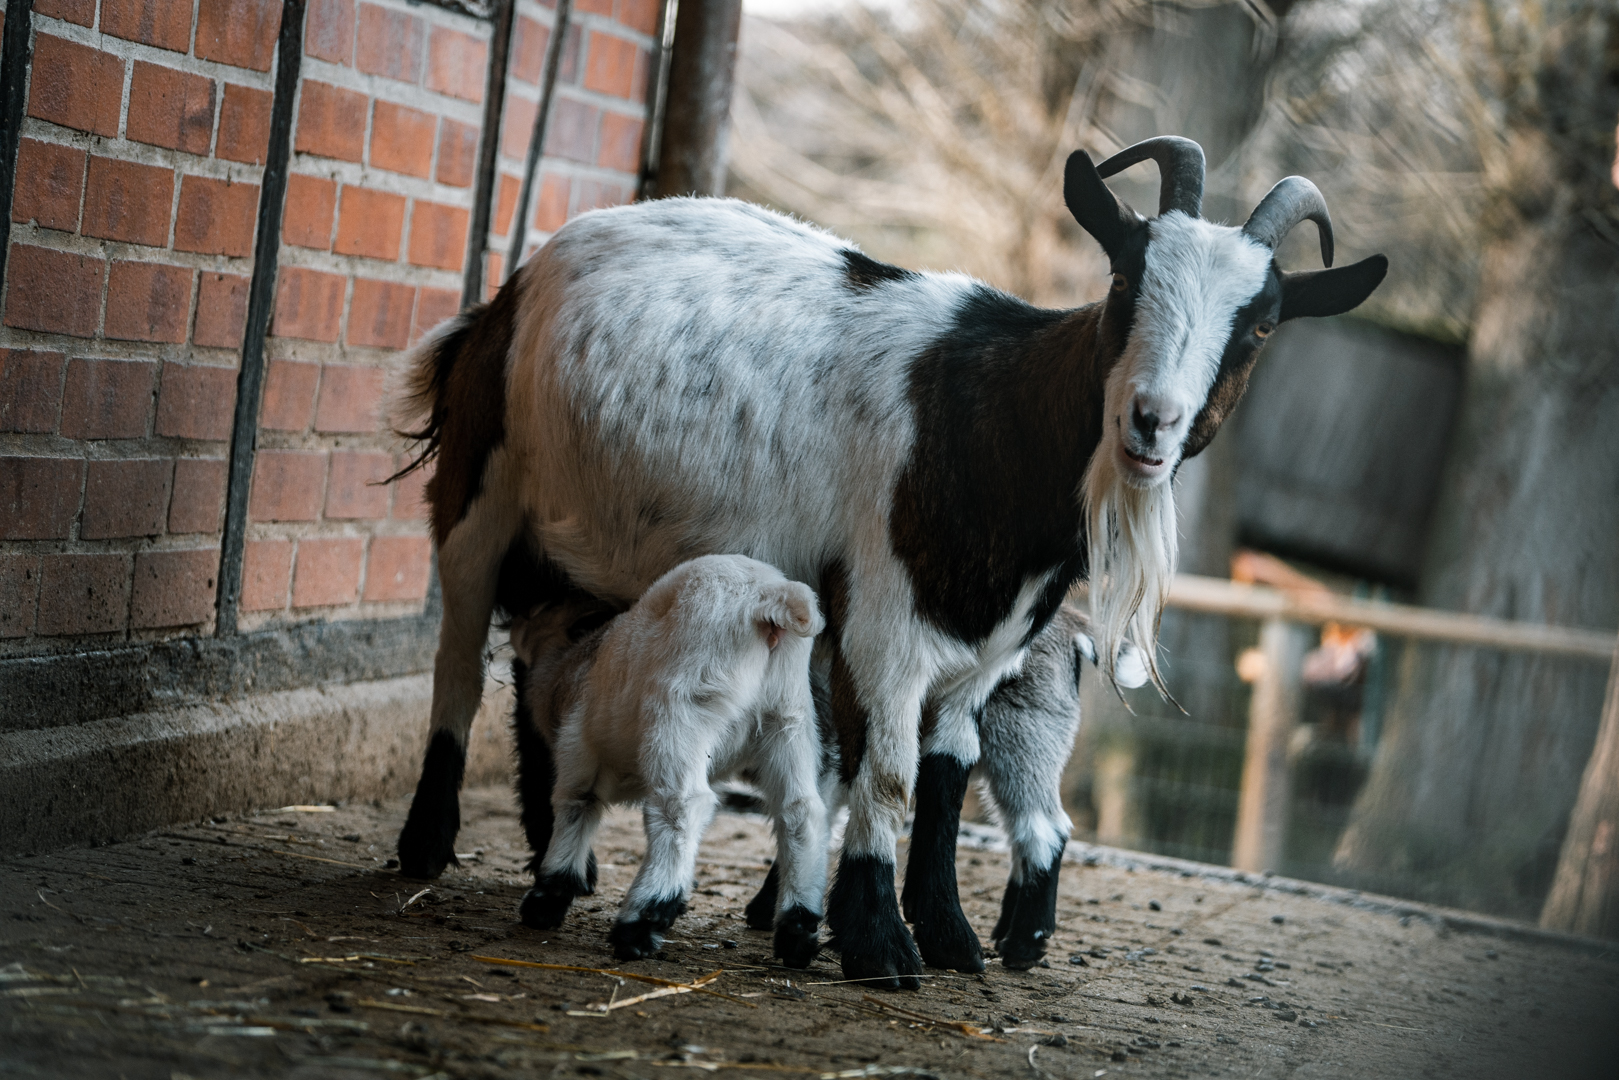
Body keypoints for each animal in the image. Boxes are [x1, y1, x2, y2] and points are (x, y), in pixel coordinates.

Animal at [506, 554, 827, 965]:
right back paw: (797, 929)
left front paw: (547, 899)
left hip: (683, 708)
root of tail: (771, 596)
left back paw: (642, 921)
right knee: (800, 810)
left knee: (682, 806)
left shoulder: (578, 753)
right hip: (788, 717)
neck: (568, 665)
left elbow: (575, 810)